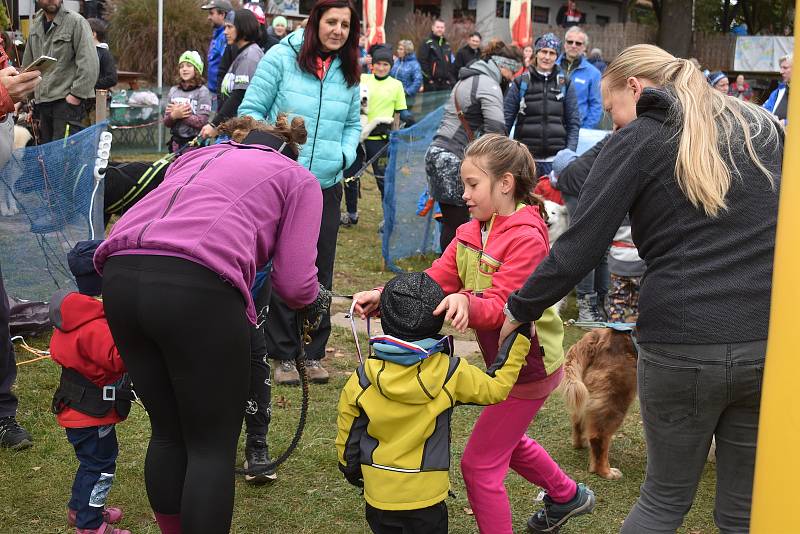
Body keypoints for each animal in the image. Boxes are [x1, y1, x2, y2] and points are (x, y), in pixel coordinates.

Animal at [564, 326, 636, 482]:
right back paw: (605, 471)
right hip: (617, 398)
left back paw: (580, 443)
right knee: (599, 437)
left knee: (577, 420)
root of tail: (597, 334)